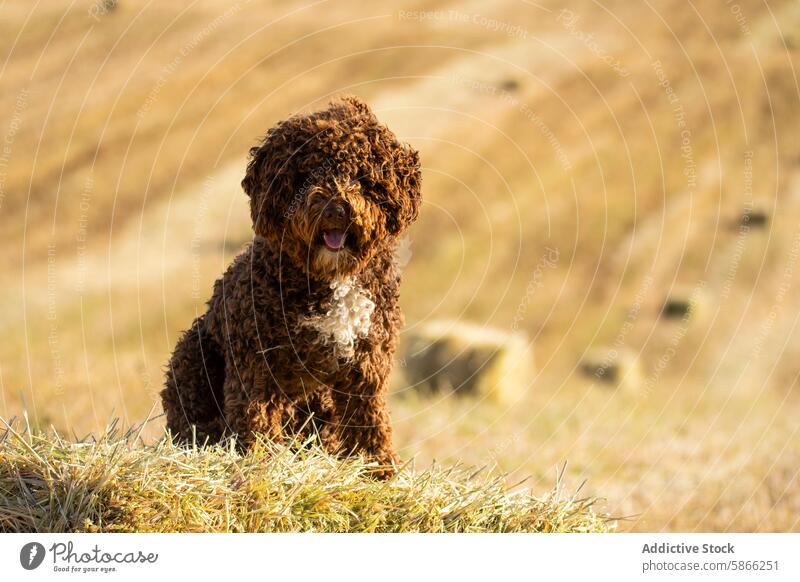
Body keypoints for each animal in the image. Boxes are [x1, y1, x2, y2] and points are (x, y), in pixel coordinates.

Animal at [160, 96, 422, 476]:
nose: (336, 208)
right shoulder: (257, 359)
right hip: (192, 357)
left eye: (361, 175)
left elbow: (367, 416)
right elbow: (256, 414)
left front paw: (378, 466)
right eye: (308, 173)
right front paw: (261, 458)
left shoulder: (367, 359)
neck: (331, 279)